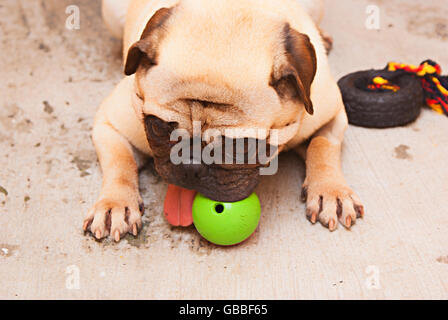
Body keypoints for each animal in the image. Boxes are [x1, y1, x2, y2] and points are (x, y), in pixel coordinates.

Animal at [83, 0, 364, 241]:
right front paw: (116, 204)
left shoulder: (331, 116)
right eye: (157, 128)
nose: (191, 164)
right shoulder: (110, 124)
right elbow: (120, 162)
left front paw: (331, 191)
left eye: (241, 147)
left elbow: (322, 147)